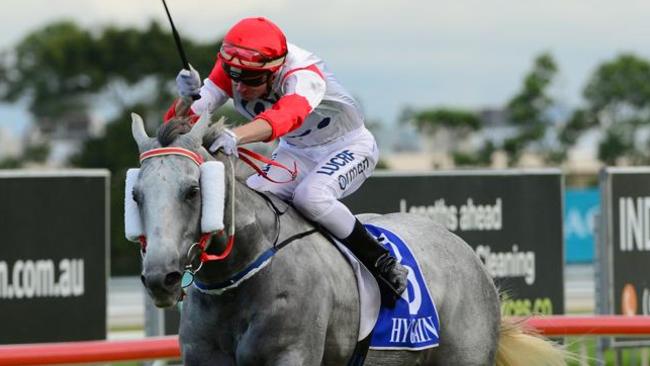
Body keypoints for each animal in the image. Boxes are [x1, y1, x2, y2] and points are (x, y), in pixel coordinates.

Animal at [129, 112, 564, 366]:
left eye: (192, 191)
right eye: (136, 194)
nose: (161, 278)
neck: (242, 276)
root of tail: (470, 257)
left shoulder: (291, 355)